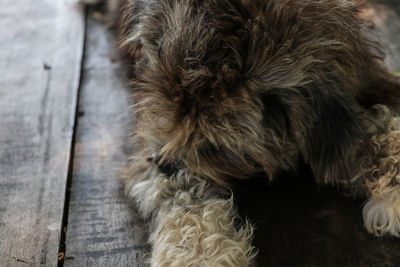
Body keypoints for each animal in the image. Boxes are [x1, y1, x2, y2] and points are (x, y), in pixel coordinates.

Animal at [85, 1, 400, 266]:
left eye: (215, 147)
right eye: (169, 117)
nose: (163, 164)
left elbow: (366, 134)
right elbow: (186, 202)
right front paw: (201, 257)